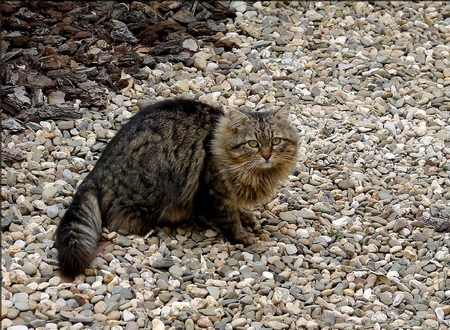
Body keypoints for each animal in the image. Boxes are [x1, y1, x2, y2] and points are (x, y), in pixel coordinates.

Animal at [55, 98, 298, 276]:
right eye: (253, 144)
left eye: (275, 141)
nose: (266, 155)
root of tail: (97, 171)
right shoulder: (215, 191)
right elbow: (228, 217)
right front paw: (241, 235)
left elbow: (237, 209)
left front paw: (246, 216)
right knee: (120, 220)